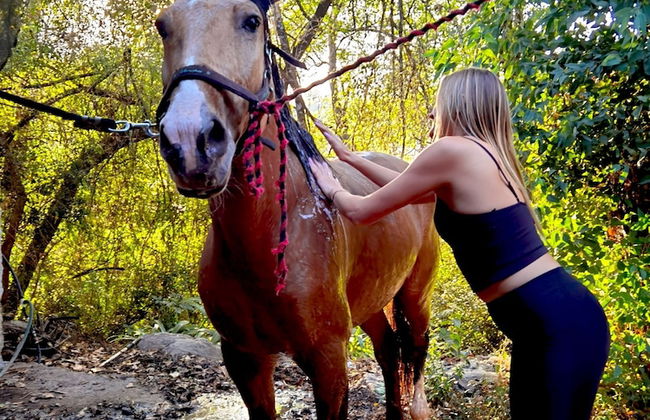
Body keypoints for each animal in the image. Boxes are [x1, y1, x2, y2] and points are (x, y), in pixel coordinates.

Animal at [155, 1, 439, 418]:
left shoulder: (328, 359)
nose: (189, 142)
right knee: (389, 352)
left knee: (413, 354)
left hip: (414, 298)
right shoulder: (244, 357)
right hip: (371, 301)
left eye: (252, 22)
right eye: (163, 26)